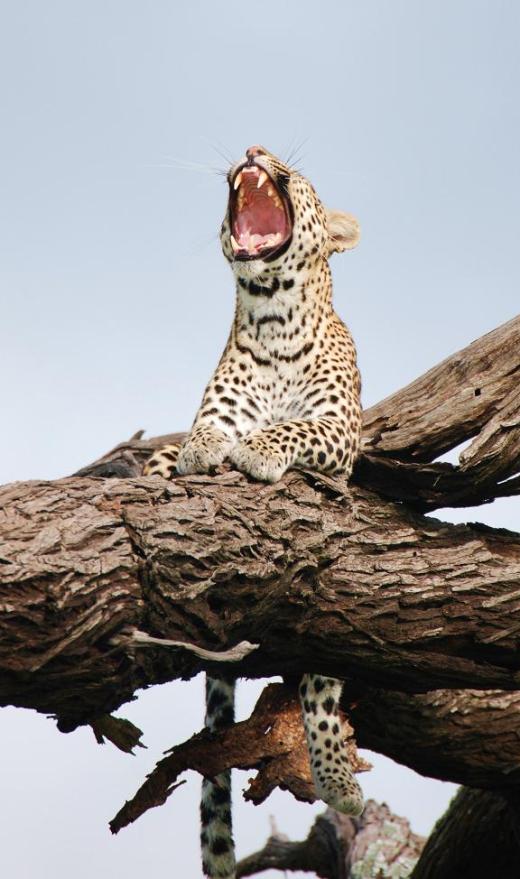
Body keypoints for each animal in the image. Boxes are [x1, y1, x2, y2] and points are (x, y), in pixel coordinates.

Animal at [144, 144, 364, 879]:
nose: (254, 150)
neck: (273, 320)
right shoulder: (209, 414)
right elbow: (201, 437)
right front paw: (210, 451)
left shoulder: (339, 430)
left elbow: (291, 429)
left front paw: (257, 450)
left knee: (322, 694)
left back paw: (341, 783)